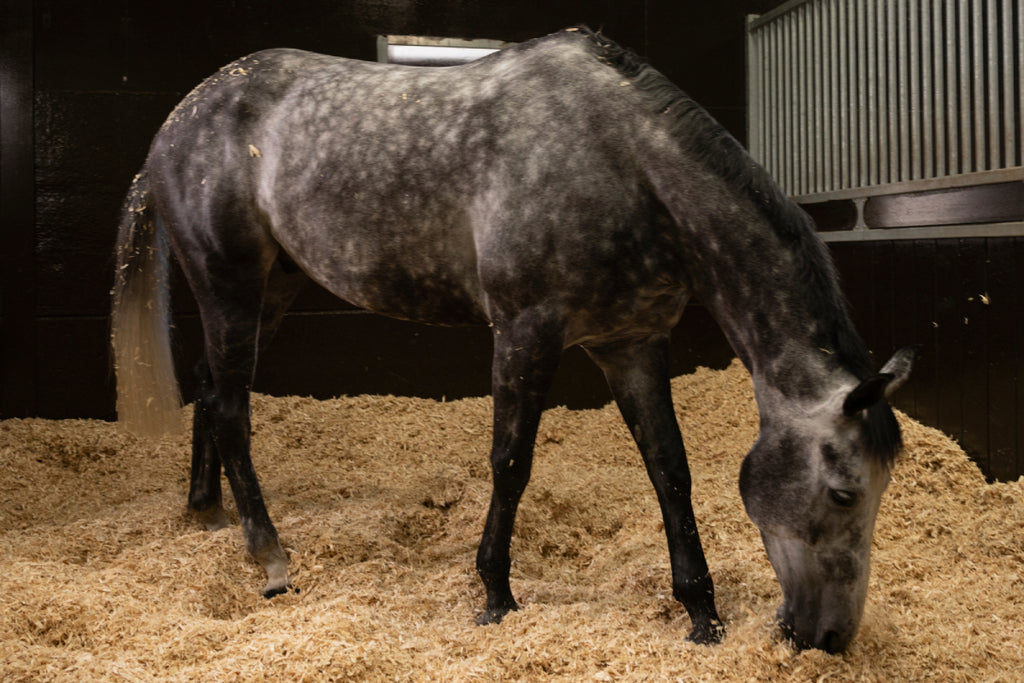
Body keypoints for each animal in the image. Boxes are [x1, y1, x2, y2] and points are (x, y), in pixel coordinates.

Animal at [112, 26, 913, 655]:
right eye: (844, 492)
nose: (829, 638)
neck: (624, 163)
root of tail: (176, 121)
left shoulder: (632, 344)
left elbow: (669, 470)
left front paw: (701, 612)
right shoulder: (527, 331)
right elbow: (511, 462)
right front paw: (495, 594)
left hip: (270, 289)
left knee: (211, 390)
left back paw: (208, 517)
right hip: (230, 286)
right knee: (233, 411)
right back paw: (271, 556)